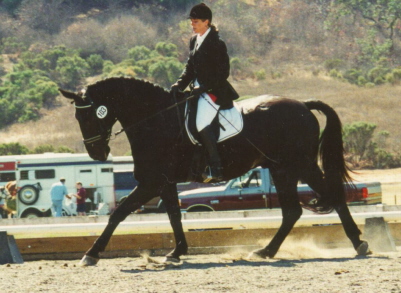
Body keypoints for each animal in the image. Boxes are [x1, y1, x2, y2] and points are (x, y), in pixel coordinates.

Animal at [59, 76, 368, 264]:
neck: (156, 120)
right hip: (281, 170)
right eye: (77, 116)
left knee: (333, 197)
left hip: (300, 164)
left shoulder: (151, 183)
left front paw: (91, 254)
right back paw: (265, 251)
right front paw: (177, 252)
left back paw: (359, 244)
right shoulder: (165, 182)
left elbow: (118, 213)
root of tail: (303, 104)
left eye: (90, 115)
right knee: (292, 211)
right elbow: (174, 216)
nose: (97, 154)